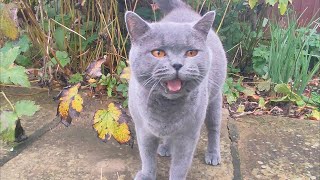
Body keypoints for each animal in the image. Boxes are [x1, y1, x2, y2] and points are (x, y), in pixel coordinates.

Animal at [125, 0, 228, 179]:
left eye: (192, 52)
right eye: (158, 53)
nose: (177, 64)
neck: (166, 108)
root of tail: (183, 10)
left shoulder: (187, 135)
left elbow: (180, 165)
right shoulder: (143, 129)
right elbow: (147, 156)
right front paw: (147, 175)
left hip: (214, 99)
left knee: (214, 127)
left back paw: (213, 154)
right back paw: (166, 148)